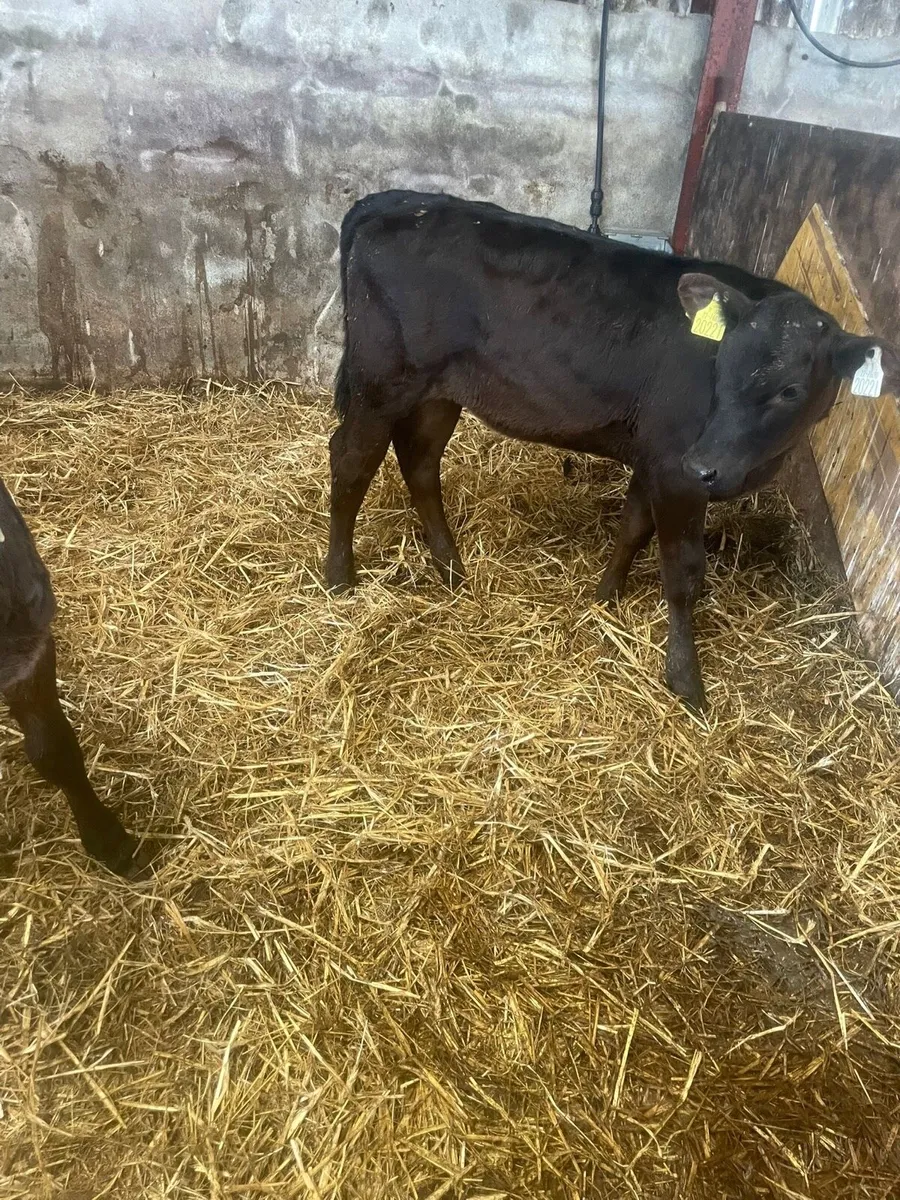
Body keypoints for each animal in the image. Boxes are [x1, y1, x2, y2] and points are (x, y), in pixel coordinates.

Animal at [324, 191, 899, 710]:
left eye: (791, 390)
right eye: (721, 364)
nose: (707, 465)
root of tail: (393, 200)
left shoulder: (657, 456)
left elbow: (633, 528)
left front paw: (606, 598)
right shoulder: (675, 468)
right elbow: (683, 571)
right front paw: (686, 681)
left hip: (441, 390)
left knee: (419, 461)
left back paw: (450, 569)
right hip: (382, 381)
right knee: (351, 461)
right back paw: (339, 579)